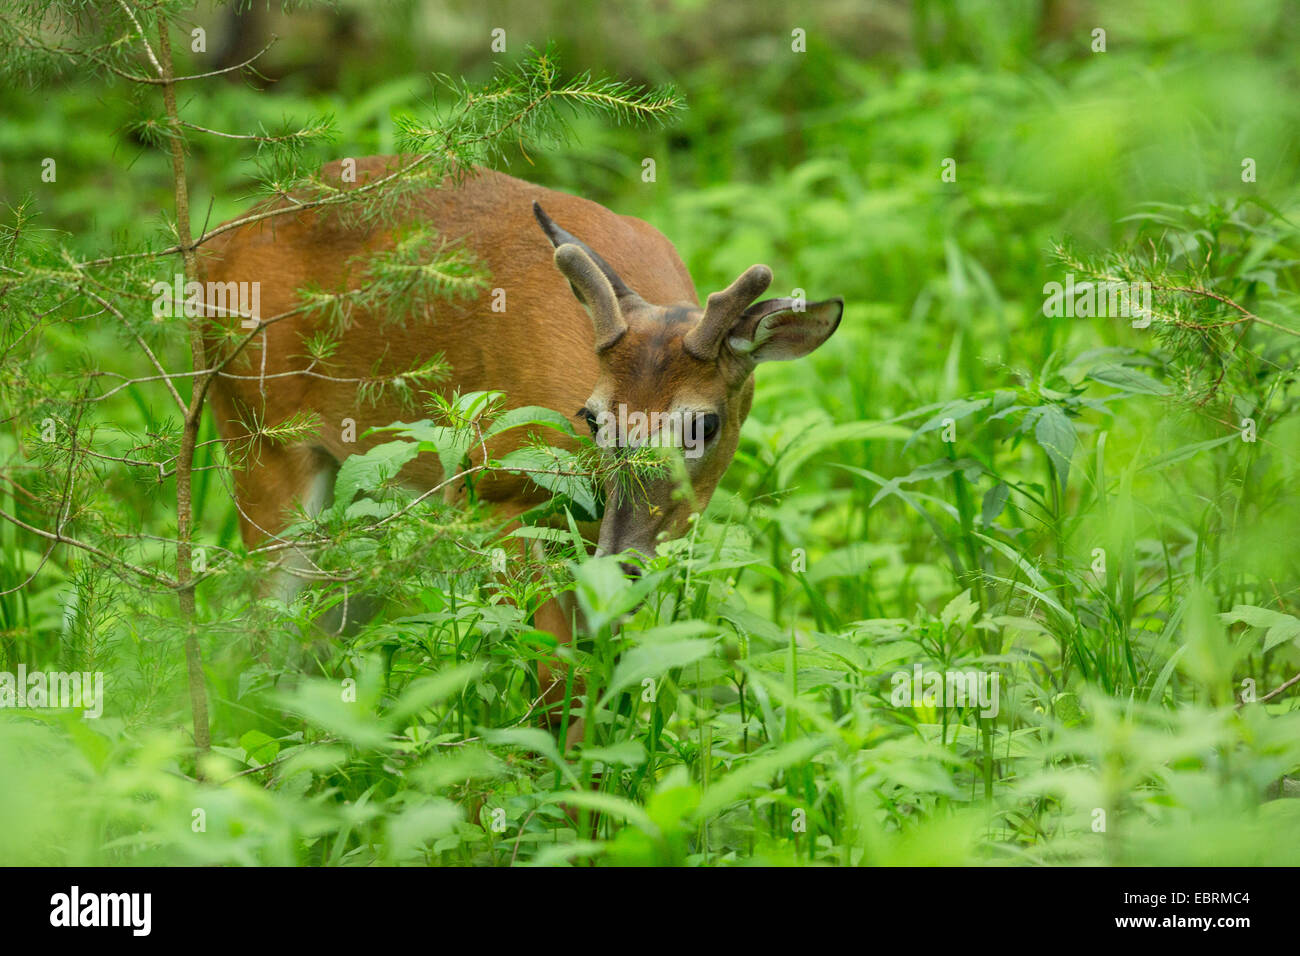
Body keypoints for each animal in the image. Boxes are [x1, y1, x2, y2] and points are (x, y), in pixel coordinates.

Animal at [193, 155, 842, 738]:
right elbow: (557, 686)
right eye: (592, 417)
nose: (620, 559)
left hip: (367, 510)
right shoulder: (494, 494)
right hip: (261, 440)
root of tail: (210, 252)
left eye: (703, 425)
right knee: (252, 645)